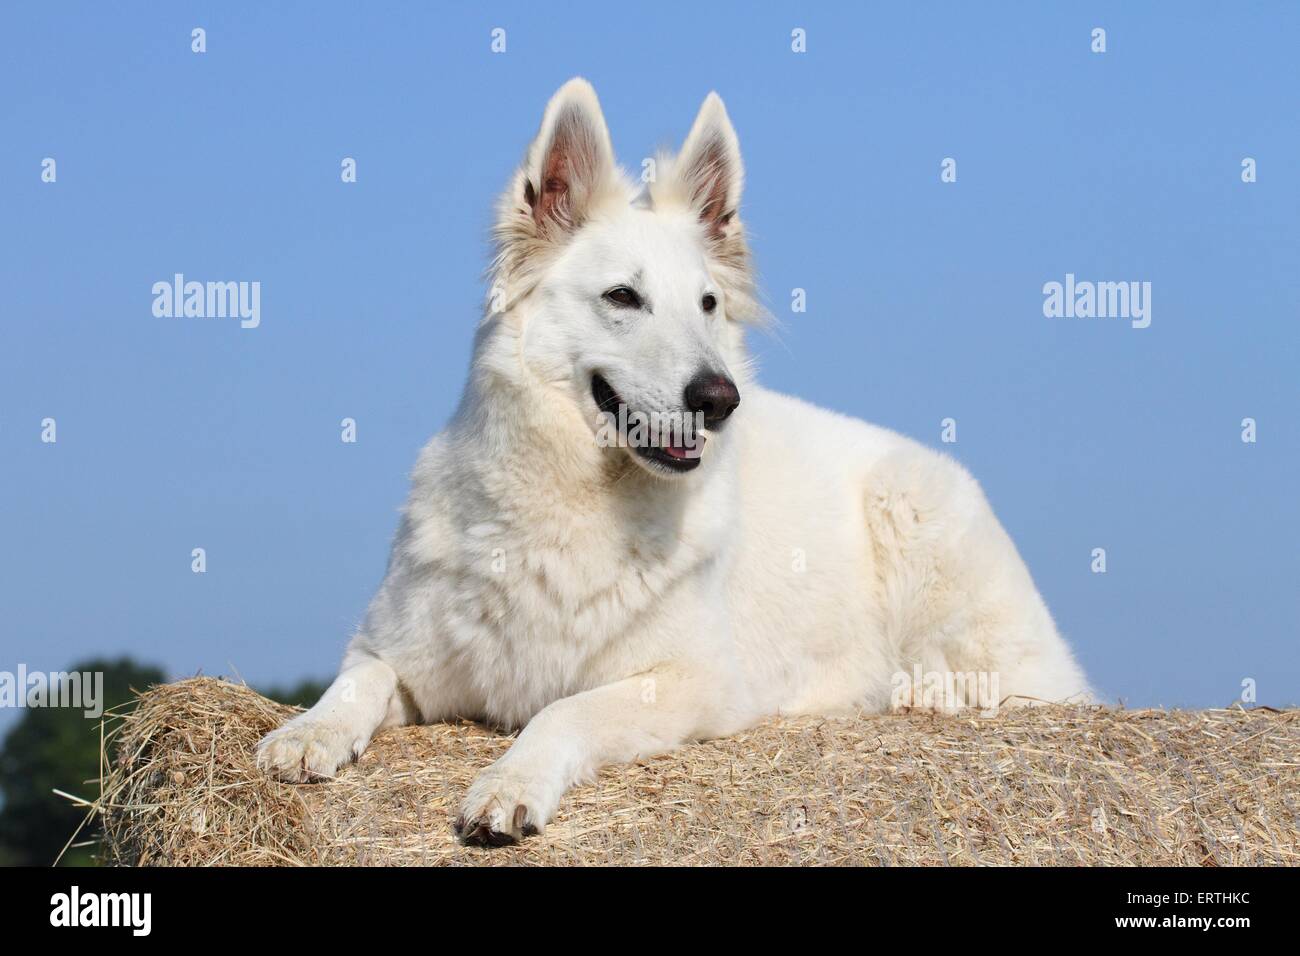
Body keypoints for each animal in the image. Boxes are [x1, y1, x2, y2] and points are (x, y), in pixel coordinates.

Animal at [253, 80, 1086, 842]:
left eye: (709, 304)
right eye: (623, 297)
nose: (720, 398)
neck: (573, 499)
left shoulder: (692, 682)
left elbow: (562, 711)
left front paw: (511, 782)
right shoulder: (398, 652)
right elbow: (356, 682)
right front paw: (305, 734)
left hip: (914, 506)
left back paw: (925, 693)